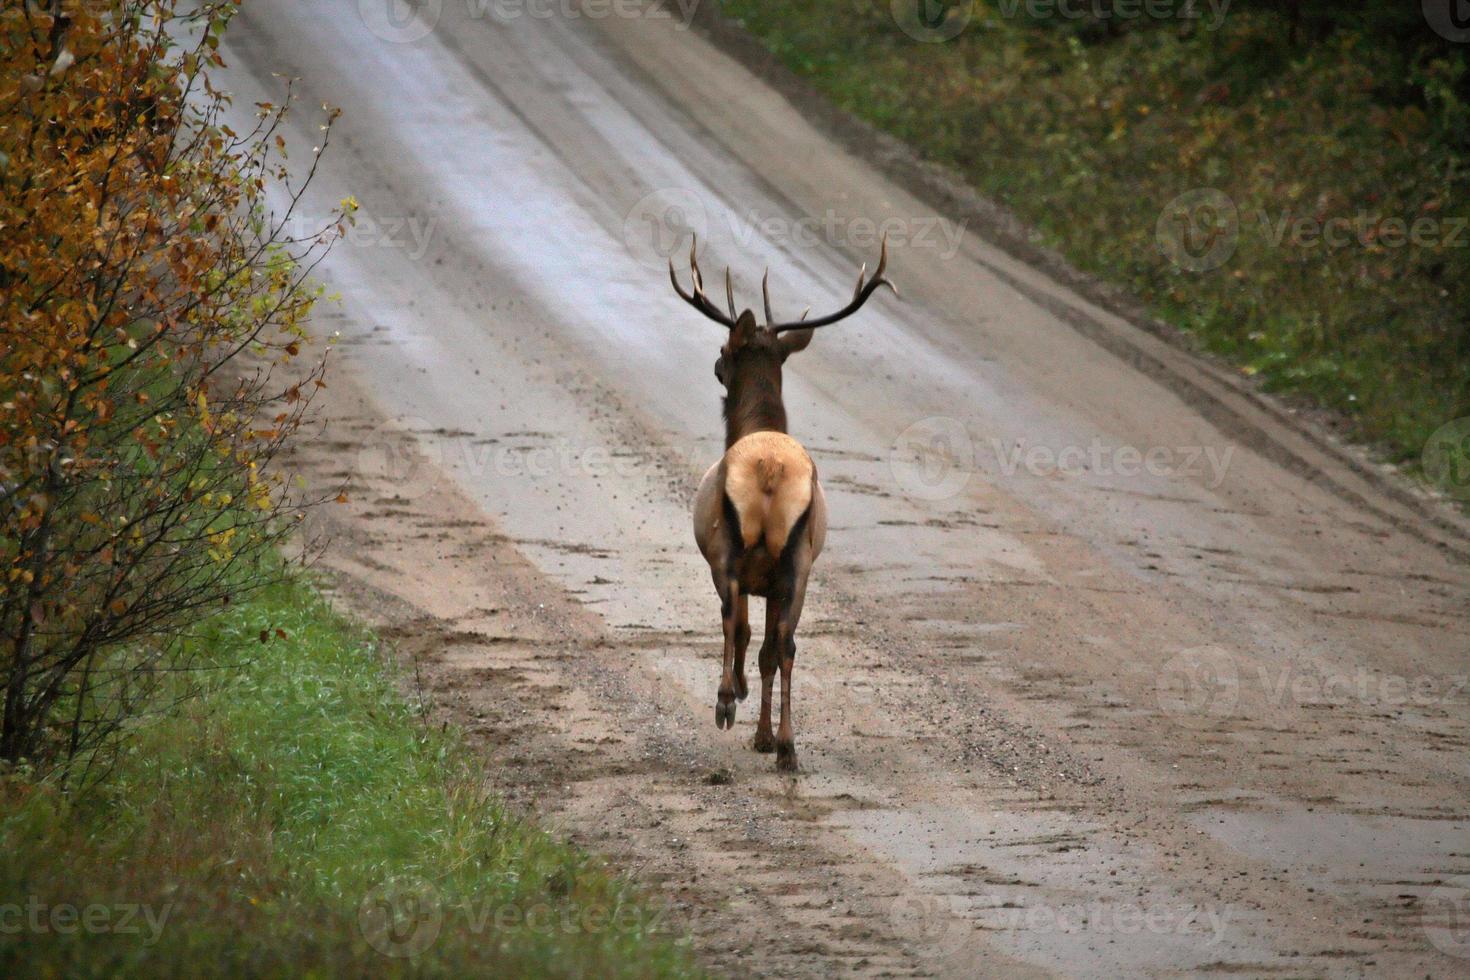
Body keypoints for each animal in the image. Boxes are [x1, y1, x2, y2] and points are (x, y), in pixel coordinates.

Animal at [670, 233, 893, 769]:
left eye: (724, 348)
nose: (716, 364)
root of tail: (770, 470)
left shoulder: (741, 570)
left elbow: (746, 632)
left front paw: (742, 700)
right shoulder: (776, 580)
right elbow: (770, 649)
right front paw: (766, 736)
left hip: (728, 548)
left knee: (734, 621)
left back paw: (726, 701)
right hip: (799, 560)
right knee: (786, 645)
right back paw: (788, 746)